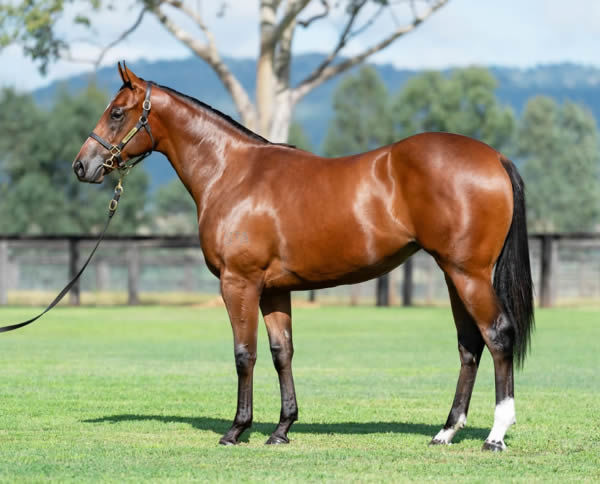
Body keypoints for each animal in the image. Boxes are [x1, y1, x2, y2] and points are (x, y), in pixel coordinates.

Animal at [72, 63, 532, 450]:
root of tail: (494, 157)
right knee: (469, 345)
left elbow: (244, 354)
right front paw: (281, 429)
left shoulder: (239, 282)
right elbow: (282, 352)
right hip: (454, 275)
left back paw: (496, 434)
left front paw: (236, 430)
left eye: (117, 112)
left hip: (469, 274)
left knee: (497, 335)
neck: (231, 172)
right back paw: (446, 431)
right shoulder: (274, 289)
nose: (82, 166)